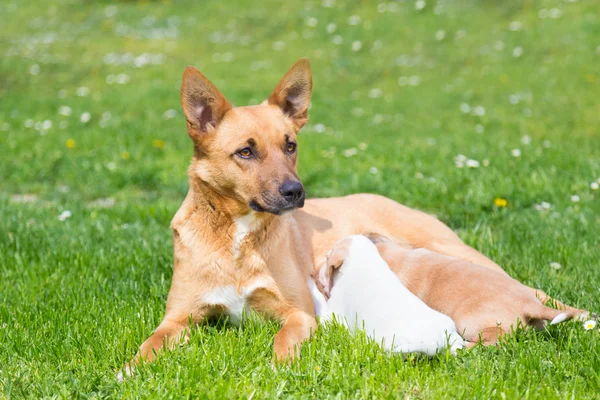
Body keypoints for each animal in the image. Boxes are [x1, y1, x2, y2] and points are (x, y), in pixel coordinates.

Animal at [312, 236, 466, 354]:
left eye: (327, 258)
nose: (318, 273)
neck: (366, 262)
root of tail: (437, 341)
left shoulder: (332, 317)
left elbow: (319, 302)